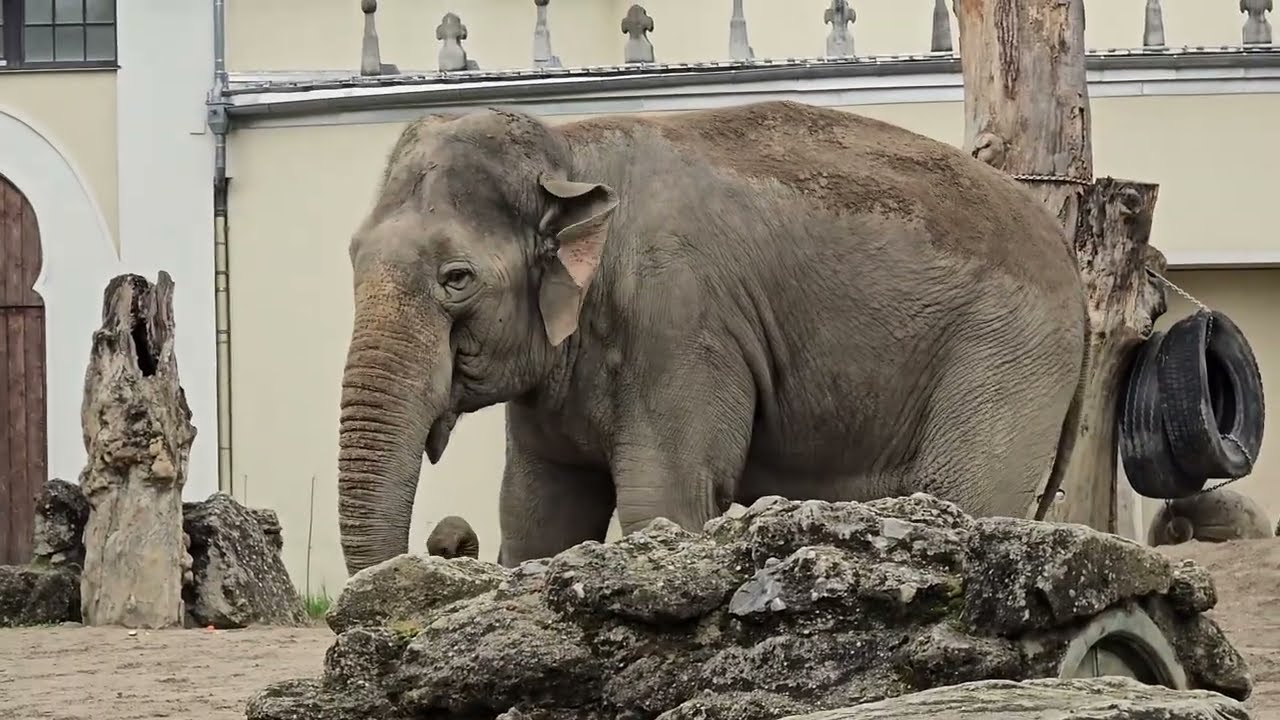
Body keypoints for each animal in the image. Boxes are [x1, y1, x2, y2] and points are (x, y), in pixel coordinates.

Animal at [337, 99, 1087, 576]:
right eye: (351, 258)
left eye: (457, 279)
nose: (450, 541)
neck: (569, 150)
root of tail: (1072, 262)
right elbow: (538, 511)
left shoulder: (682, 320)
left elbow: (664, 498)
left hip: (1005, 360)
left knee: (966, 496)